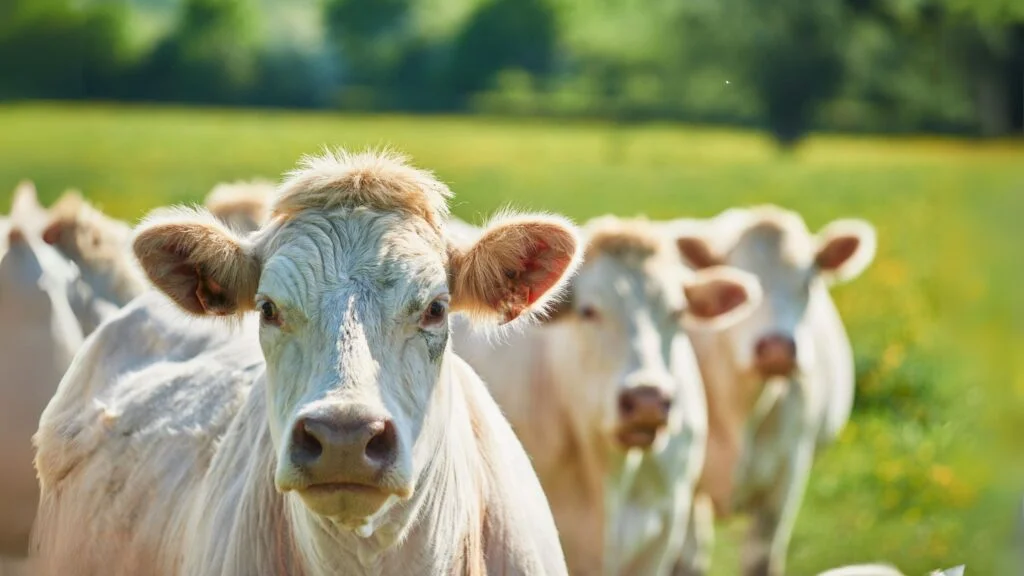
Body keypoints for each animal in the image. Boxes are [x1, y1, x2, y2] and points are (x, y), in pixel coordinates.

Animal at [670, 205, 877, 576]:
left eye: (809, 282)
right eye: (741, 286)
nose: (777, 348)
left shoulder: (789, 473)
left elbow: (760, 556)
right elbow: (688, 559)